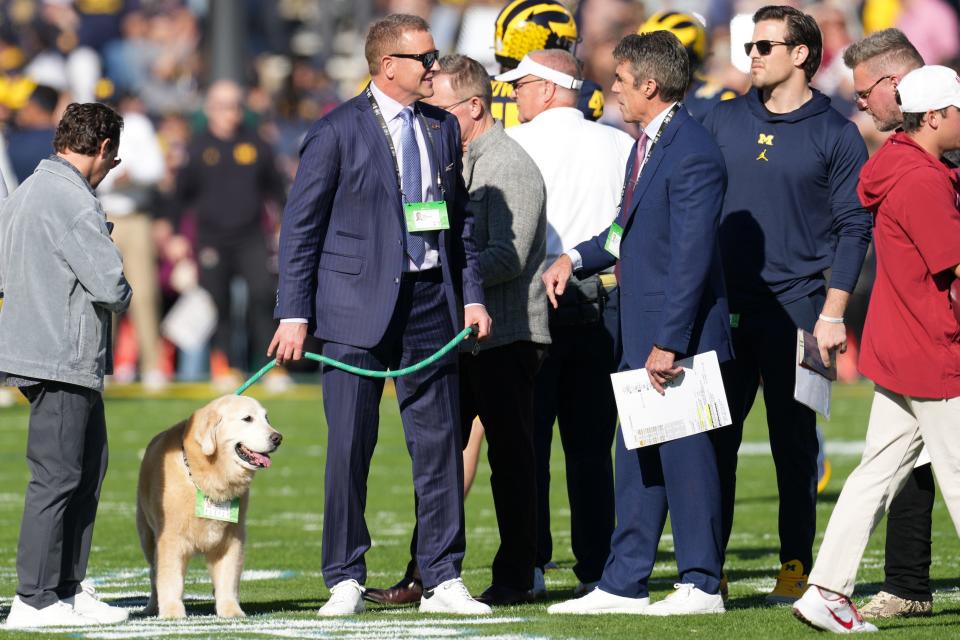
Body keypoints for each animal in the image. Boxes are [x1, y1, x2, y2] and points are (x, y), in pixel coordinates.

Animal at [137, 392, 284, 616]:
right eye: (247, 419)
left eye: (266, 418)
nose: (278, 438)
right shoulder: (171, 539)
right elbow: (170, 579)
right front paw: (172, 612)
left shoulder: (232, 539)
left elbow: (227, 579)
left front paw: (231, 610)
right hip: (147, 536)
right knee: (154, 573)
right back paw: (153, 606)